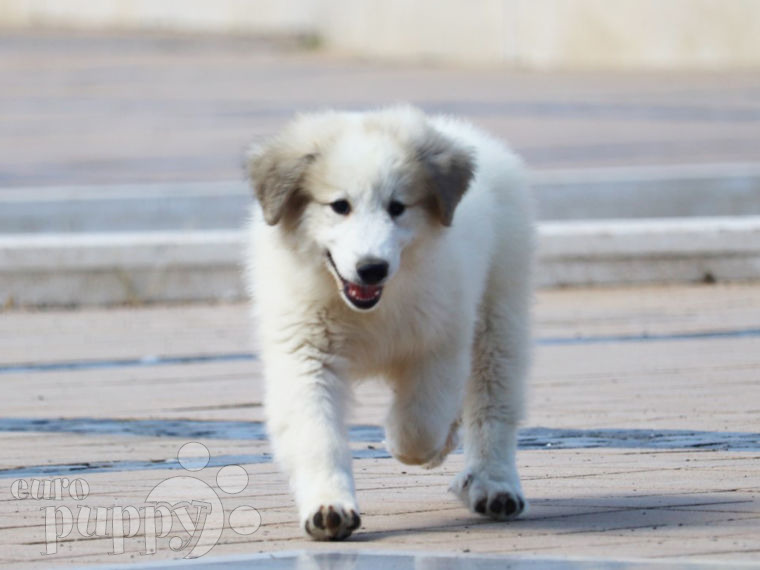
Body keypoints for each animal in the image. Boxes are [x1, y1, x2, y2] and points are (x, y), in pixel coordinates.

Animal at [245, 105, 536, 536]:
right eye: (340, 206)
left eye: (397, 207)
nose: (371, 269)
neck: (366, 309)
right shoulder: (306, 354)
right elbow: (317, 433)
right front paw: (329, 508)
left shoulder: (441, 341)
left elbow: (420, 423)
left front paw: (413, 448)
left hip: (499, 318)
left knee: (492, 407)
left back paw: (493, 486)